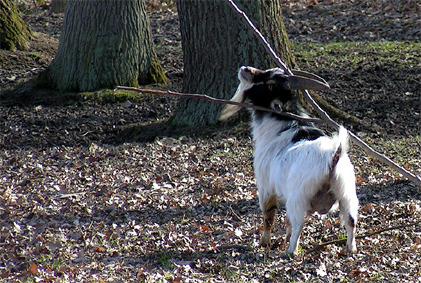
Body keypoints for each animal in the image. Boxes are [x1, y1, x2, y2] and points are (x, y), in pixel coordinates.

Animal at [220, 66, 358, 258]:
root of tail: (332, 156)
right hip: (347, 194)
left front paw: (264, 242)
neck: (283, 126)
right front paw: (283, 237)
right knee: (351, 221)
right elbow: (287, 221)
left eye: (270, 84)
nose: (246, 69)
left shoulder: (266, 185)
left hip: (298, 198)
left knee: (299, 222)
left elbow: (269, 215)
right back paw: (350, 249)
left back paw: (290, 251)